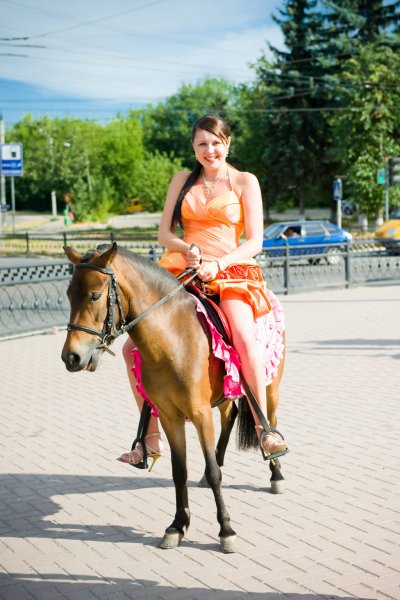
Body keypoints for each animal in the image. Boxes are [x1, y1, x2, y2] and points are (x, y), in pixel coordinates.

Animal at [61, 243, 286, 553]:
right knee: (230, 416)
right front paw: (178, 526)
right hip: (224, 395)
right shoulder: (170, 416)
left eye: (95, 295)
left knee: (268, 419)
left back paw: (275, 464)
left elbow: (214, 473)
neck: (173, 338)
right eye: (69, 294)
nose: (71, 357)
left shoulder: (200, 413)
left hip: (269, 385)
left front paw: (226, 530)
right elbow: (179, 471)